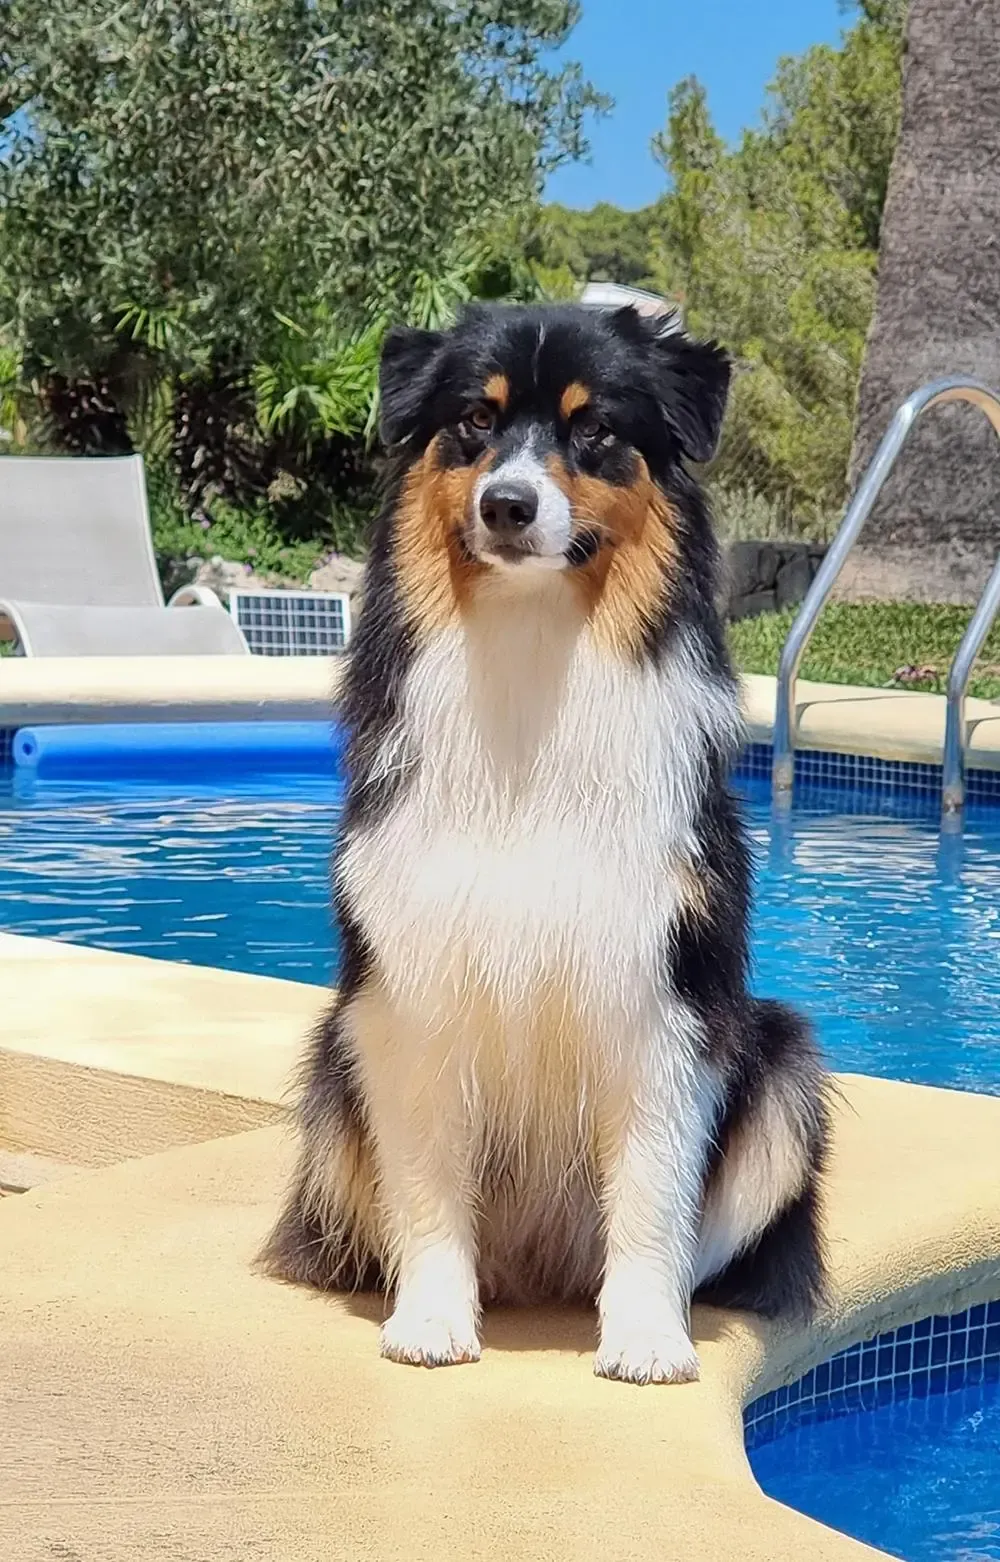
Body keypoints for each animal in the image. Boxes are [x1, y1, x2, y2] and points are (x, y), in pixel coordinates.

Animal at [259, 298, 825, 1387]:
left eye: (594, 428)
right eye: (474, 424)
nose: (508, 506)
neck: (530, 653)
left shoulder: (663, 995)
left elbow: (651, 1188)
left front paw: (644, 1339)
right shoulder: (407, 997)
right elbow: (428, 1187)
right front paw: (432, 1321)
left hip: (781, 1060)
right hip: (330, 1062)